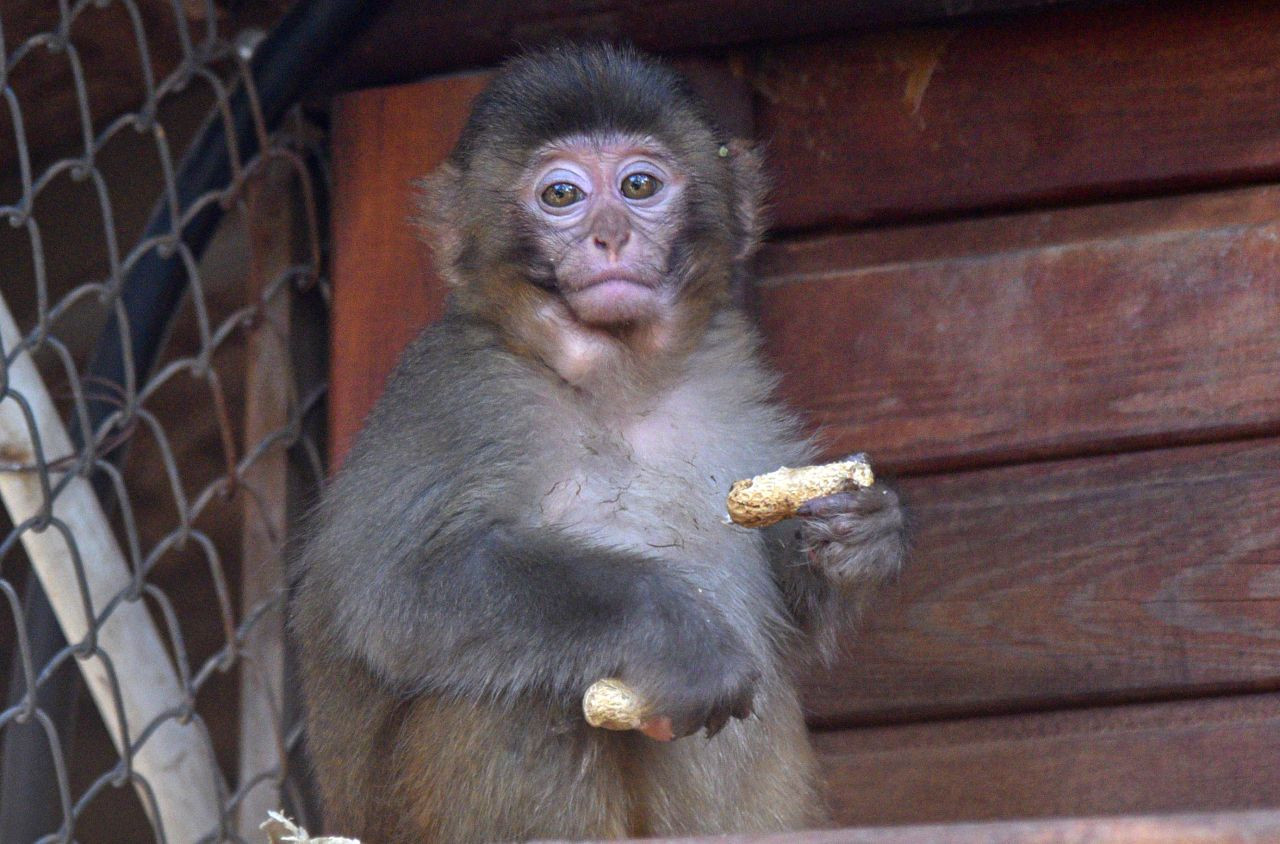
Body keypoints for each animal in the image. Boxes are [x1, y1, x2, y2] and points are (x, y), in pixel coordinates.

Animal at [293, 44, 906, 844]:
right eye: (561, 195)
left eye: (639, 185)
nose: (610, 235)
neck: (617, 382)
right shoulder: (456, 393)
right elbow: (395, 592)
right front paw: (673, 630)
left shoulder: (732, 373)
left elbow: (790, 613)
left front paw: (863, 536)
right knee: (504, 699)